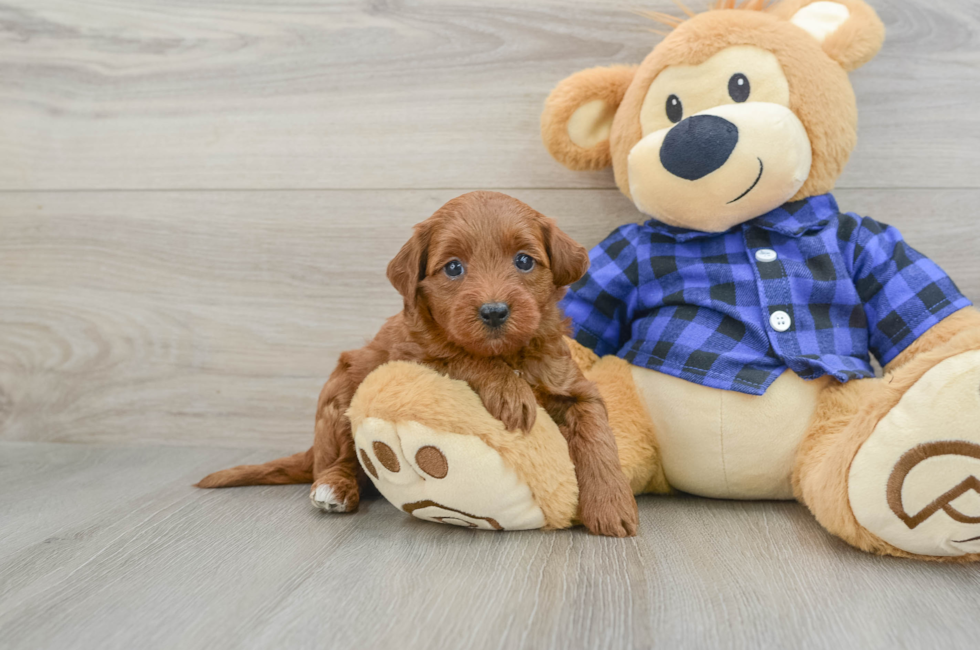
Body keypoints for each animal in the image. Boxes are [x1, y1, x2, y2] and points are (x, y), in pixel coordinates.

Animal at [201, 190, 644, 536]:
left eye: (523, 261)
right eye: (453, 267)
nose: (494, 311)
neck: (507, 353)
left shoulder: (574, 386)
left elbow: (598, 437)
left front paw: (612, 506)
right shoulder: (415, 357)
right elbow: (460, 354)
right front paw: (509, 391)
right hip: (342, 389)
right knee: (341, 460)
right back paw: (335, 488)